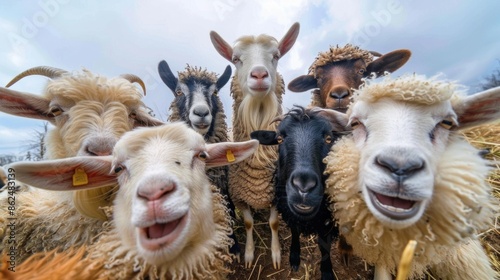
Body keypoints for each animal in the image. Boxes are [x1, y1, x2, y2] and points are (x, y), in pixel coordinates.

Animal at [209, 23, 298, 268]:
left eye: (276, 56)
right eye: (236, 59)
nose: (259, 74)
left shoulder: (276, 196)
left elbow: (274, 222)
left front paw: (276, 254)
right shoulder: (239, 197)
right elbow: (248, 223)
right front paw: (248, 254)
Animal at [252, 106, 350, 278]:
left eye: (329, 139)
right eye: (279, 139)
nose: (303, 186)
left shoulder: (327, 221)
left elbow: (324, 246)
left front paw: (327, 271)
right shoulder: (290, 213)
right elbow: (294, 232)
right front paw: (294, 257)